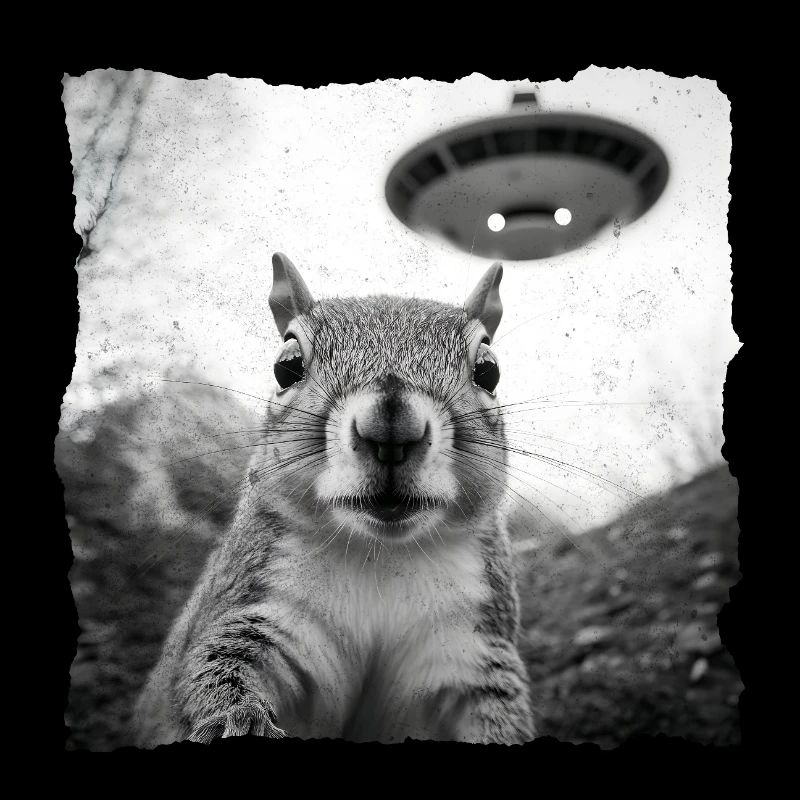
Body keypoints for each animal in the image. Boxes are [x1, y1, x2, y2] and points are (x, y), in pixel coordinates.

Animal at [133, 252, 535, 746]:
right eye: (286, 366)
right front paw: (239, 720)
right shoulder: (260, 608)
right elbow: (217, 667)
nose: (391, 427)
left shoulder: (470, 650)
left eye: (488, 370)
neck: (382, 555)